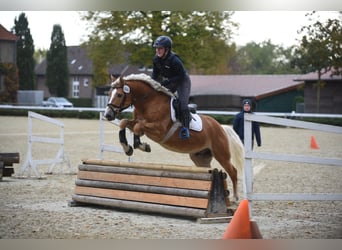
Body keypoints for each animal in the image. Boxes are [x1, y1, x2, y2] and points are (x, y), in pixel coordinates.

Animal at [103, 73, 244, 200]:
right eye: (109, 94)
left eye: (119, 95)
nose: (108, 115)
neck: (149, 101)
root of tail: (220, 127)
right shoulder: (137, 122)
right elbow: (124, 123)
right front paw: (127, 148)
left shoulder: (159, 130)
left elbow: (138, 127)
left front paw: (142, 146)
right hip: (200, 158)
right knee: (209, 170)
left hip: (221, 154)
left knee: (233, 171)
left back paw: (235, 198)